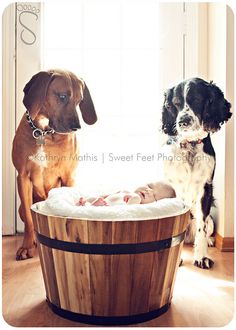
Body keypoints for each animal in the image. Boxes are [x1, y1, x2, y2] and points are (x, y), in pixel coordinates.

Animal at [11, 69, 97, 260]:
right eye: (63, 96)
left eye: (79, 100)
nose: (77, 127)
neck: (43, 132)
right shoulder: (23, 177)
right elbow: (29, 219)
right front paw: (27, 246)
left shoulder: (68, 177)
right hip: (20, 206)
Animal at [161, 77, 231, 268]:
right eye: (175, 103)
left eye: (197, 99)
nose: (182, 121)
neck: (190, 144)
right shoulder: (174, 189)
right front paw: (176, 258)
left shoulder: (205, 188)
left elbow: (202, 227)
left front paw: (202, 257)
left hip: (212, 219)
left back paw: (210, 241)